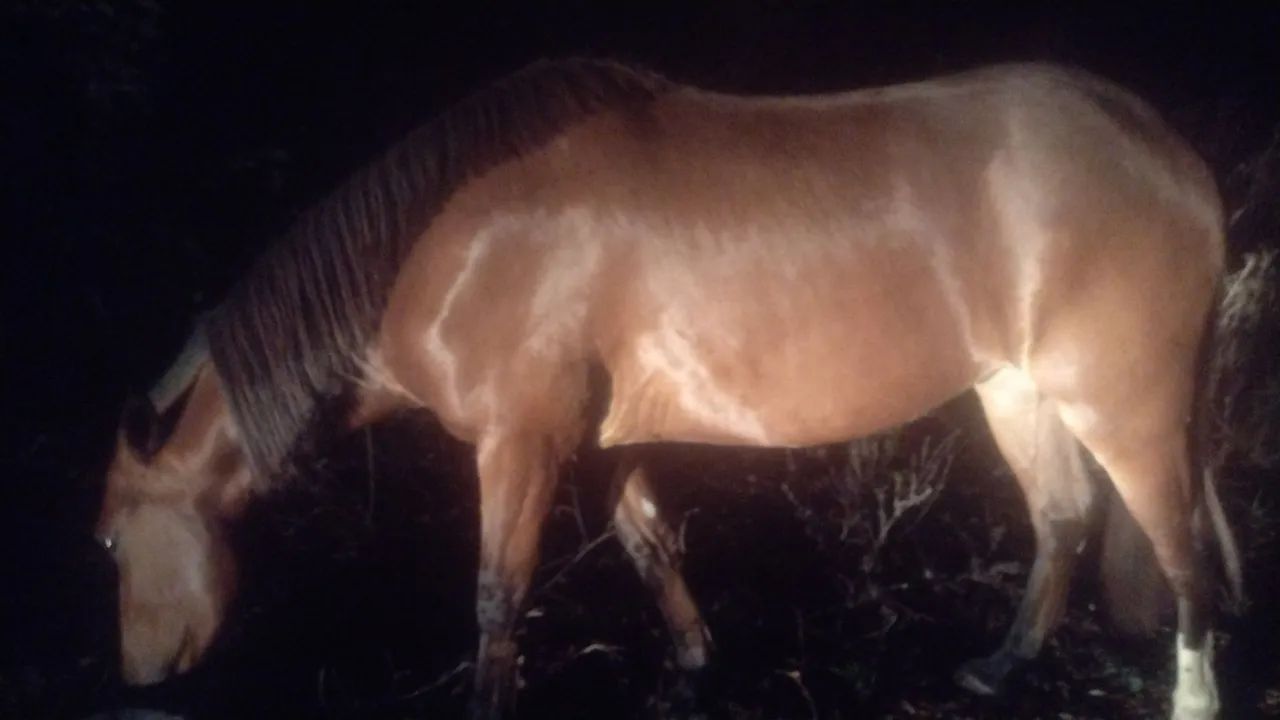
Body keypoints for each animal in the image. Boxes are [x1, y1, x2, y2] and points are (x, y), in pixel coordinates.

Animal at [95, 58, 1241, 719]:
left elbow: (498, 593)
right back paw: (1001, 667)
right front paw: (694, 664)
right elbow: (650, 547)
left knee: (1180, 546)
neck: (443, 252)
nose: (138, 680)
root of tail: (1166, 149)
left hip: (1127, 407)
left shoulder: (520, 443)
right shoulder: (605, 443)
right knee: (1063, 517)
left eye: (108, 541)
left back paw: (1191, 694)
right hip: (1015, 390)